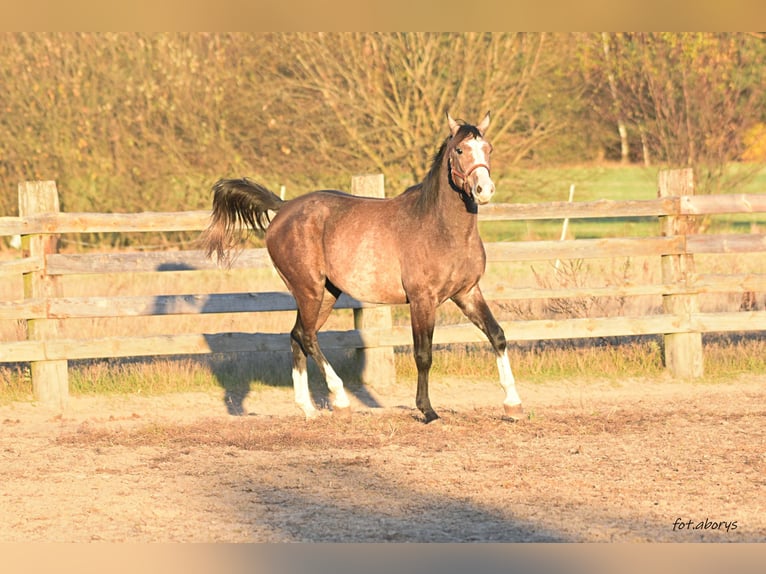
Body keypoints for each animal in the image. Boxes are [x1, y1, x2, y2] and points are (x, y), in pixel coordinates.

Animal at [201, 112, 524, 424]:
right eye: (459, 149)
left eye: (488, 148)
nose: (484, 190)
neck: (440, 228)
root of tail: (283, 208)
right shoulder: (422, 300)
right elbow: (423, 354)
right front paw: (428, 411)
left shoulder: (467, 293)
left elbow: (497, 335)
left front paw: (513, 405)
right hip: (308, 289)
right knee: (307, 337)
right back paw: (340, 401)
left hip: (325, 293)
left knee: (297, 336)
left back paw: (308, 409)